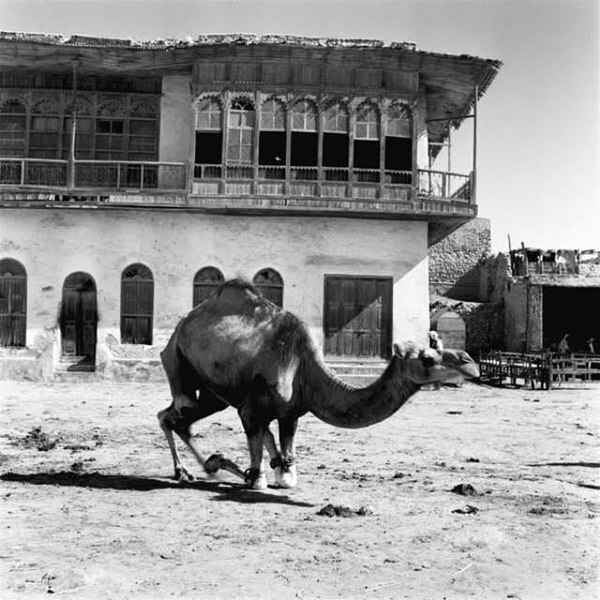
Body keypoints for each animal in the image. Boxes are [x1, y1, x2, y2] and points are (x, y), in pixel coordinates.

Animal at [157, 278, 480, 490]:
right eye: (426, 358)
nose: (470, 362)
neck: (303, 369)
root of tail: (184, 322)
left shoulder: (291, 411)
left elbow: (283, 457)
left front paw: (277, 469)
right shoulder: (252, 408)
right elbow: (259, 459)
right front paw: (248, 472)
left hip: (212, 393)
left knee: (176, 417)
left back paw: (193, 469)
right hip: (176, 359)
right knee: (175, 413)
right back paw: (192, 470)